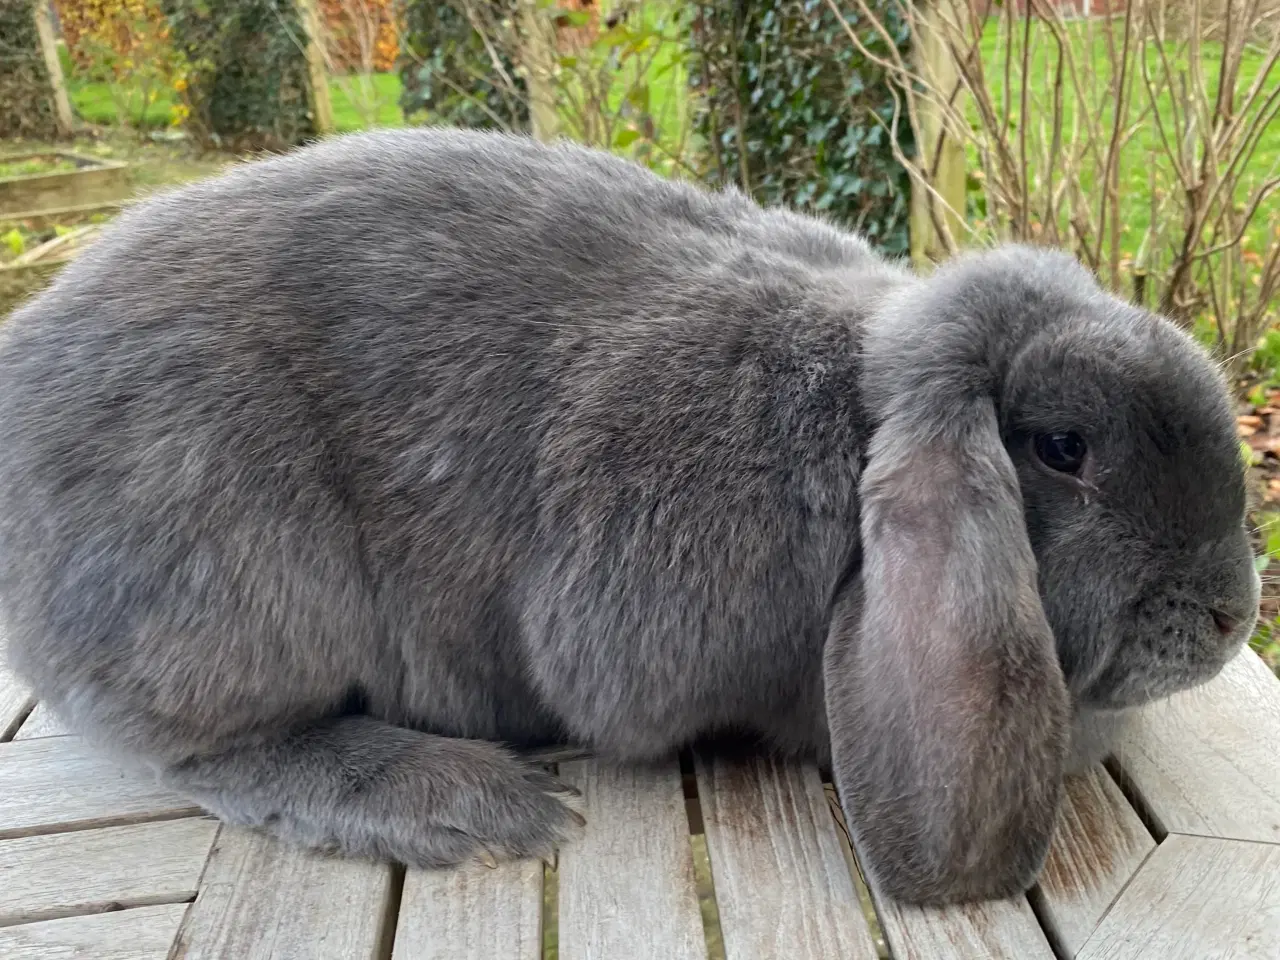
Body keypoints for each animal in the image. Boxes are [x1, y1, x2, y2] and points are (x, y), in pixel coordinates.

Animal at [0, 129, 1259, 911]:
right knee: (203, 752)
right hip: (236, 573)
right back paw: (462, 804)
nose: (1230, 618)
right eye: (1063, 448)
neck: (852, 413)